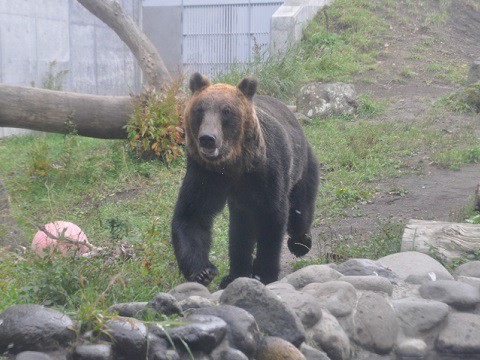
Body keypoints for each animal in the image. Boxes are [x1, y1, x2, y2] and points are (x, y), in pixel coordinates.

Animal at [171, 73, 316, 290]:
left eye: (226, 111)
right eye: (199, 110)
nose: (207, 138)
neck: (234, 164)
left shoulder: (266, 173)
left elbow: (272, 216)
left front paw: (264, 273)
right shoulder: (206, 174)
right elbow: (192, 215)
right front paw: (203, 271)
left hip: (301, 164)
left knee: (301, 205)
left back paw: (300, 244)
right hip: (241, 203)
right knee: (240, 232)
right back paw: (234, 275)